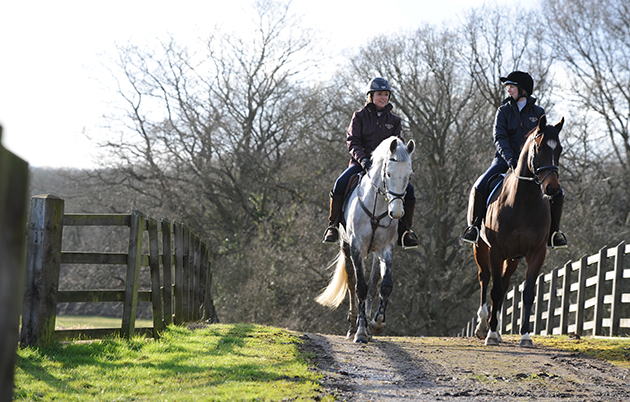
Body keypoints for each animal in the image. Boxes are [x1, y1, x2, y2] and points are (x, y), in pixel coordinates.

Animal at [472, 114, 564, 348]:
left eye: (559, 149)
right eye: (539, 148)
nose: (552, 188)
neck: (523, 201)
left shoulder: (536, 253)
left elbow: (528, 293)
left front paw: (525, 336)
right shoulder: (496, 251)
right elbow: (494, 290)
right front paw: (490, 335)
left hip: (513, 258)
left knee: (504, 284)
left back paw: (496, 329)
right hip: (481, 248)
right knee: (485, 278)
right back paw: (484, 326)